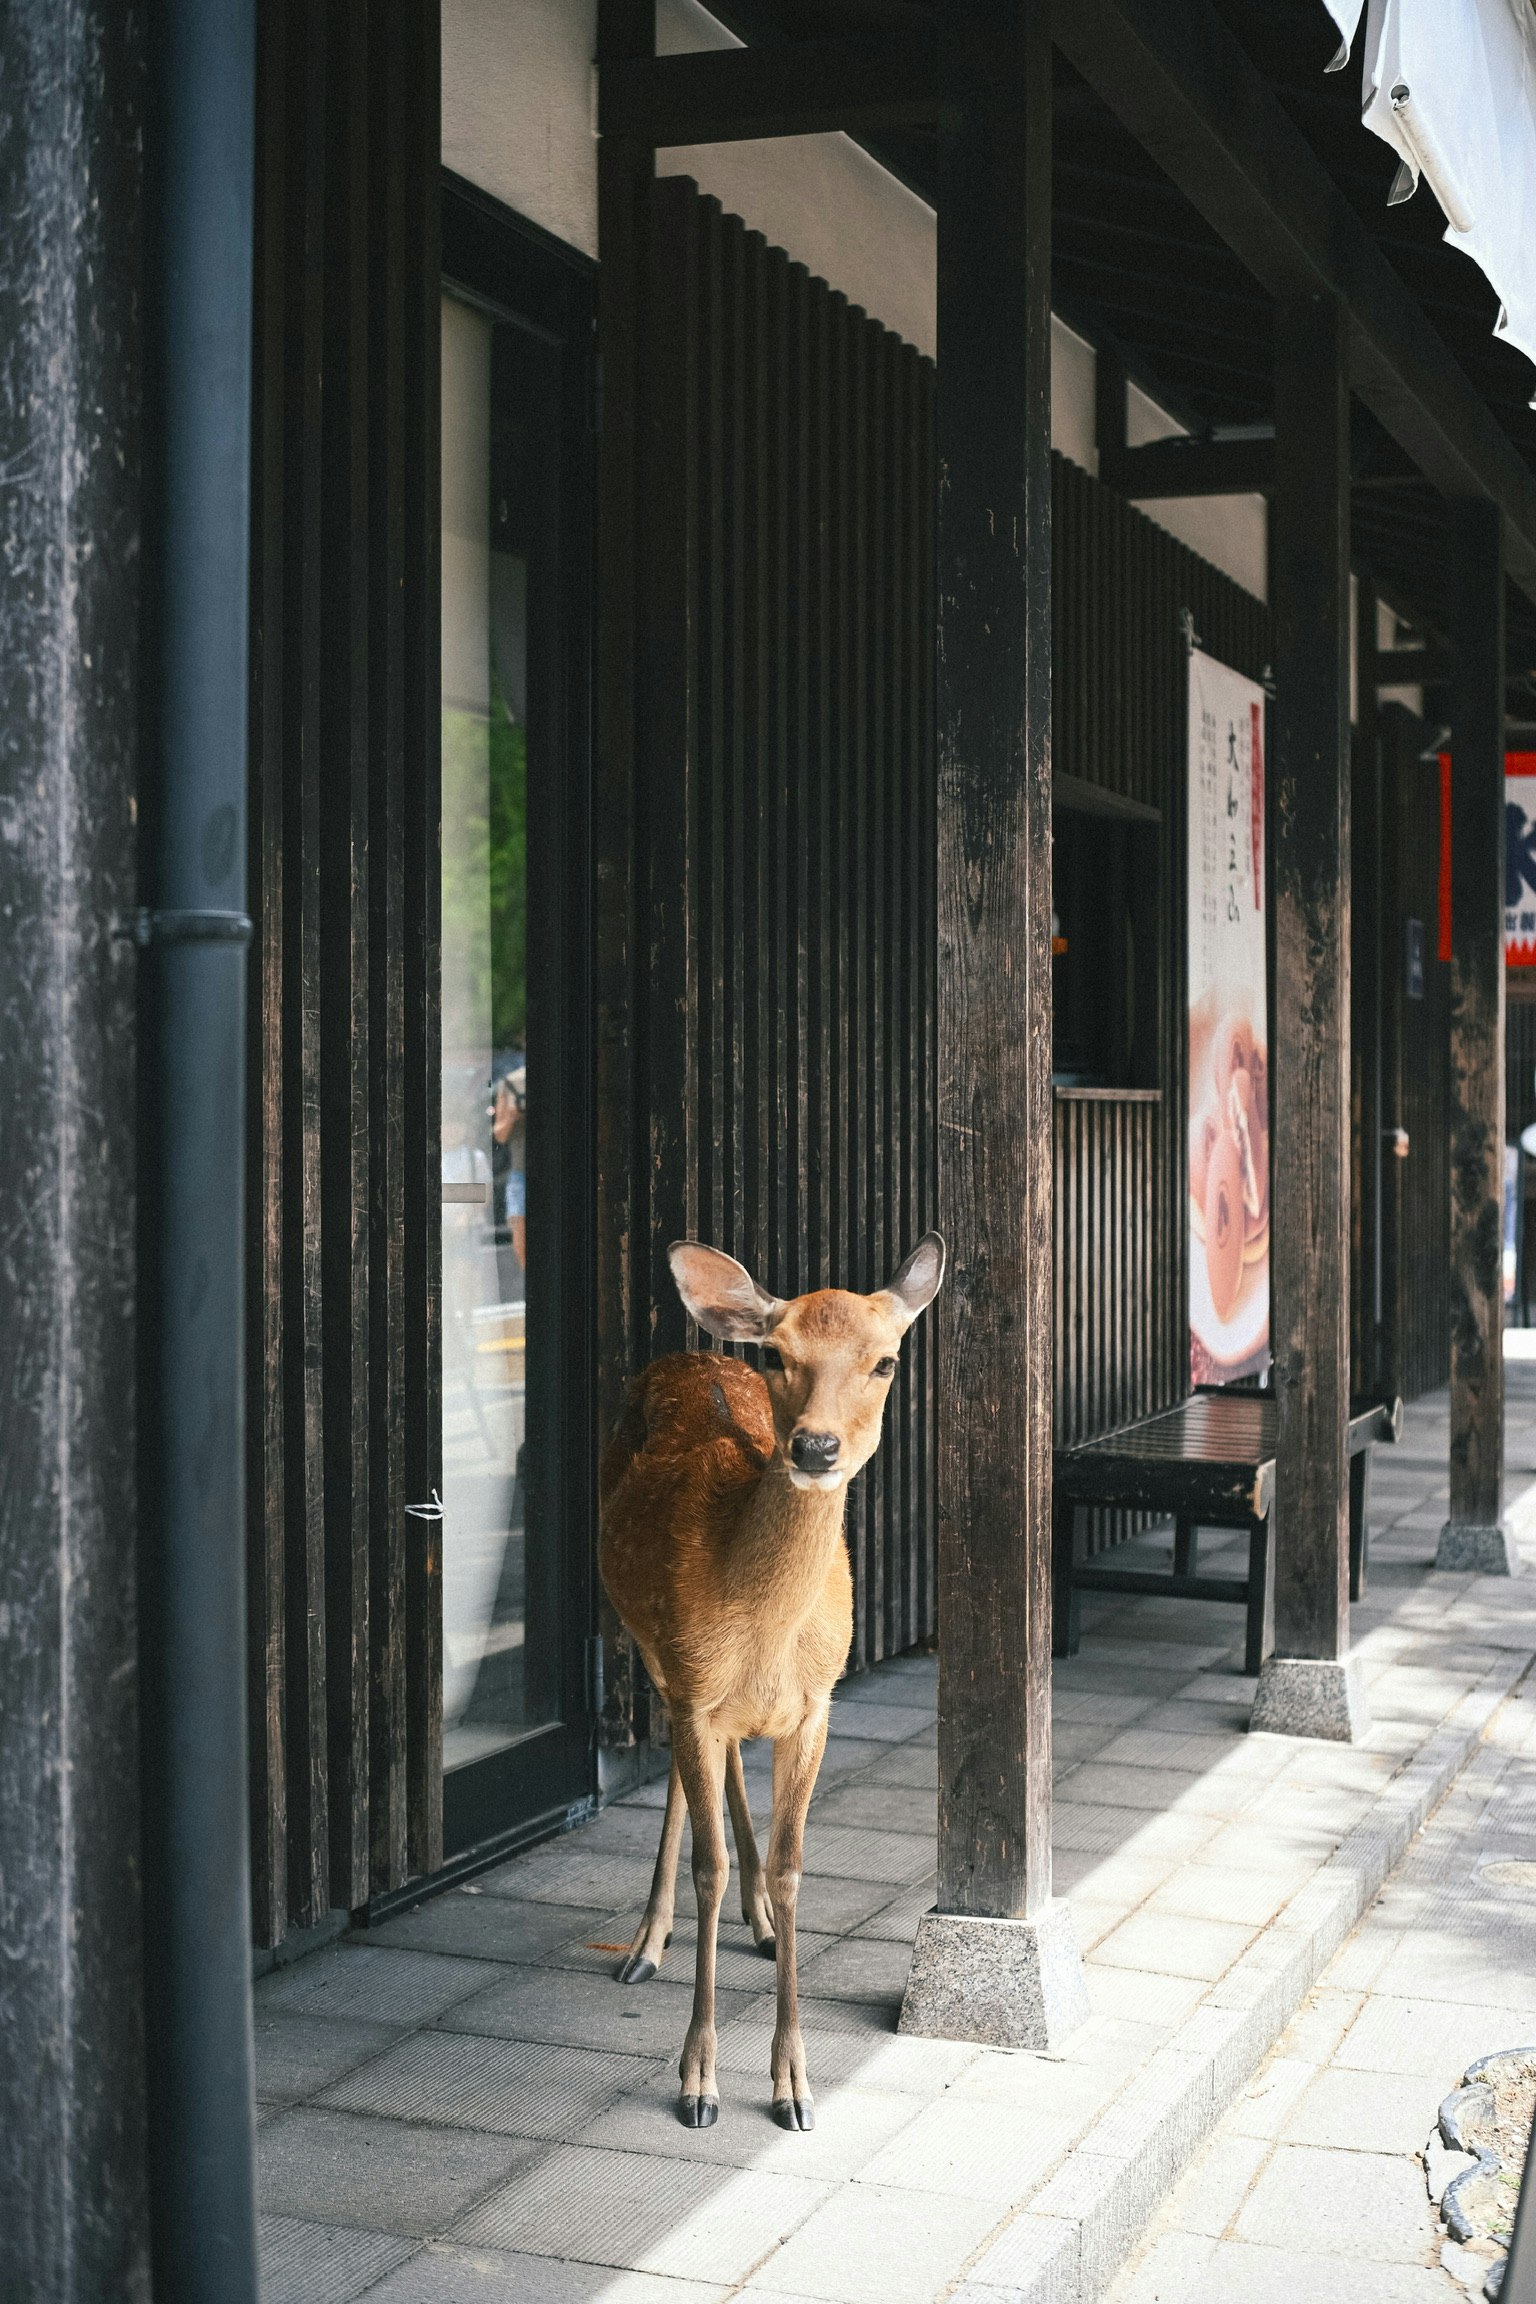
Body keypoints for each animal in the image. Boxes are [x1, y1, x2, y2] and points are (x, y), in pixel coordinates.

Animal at [598, 1232, 945, 2132]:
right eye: (781, 1355)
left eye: (886, 1361)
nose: (815, 1448)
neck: (764, 1632)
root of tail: (693, 1351)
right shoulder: (693, 1692)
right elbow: (707, 1866)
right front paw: (698, 2082)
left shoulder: (817, 1706)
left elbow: (792, 1866)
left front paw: (794, 2083)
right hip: (644, 1641)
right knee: (685, 1782)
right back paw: (646, 1945)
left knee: (728, 1777)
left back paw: (754, 1922)